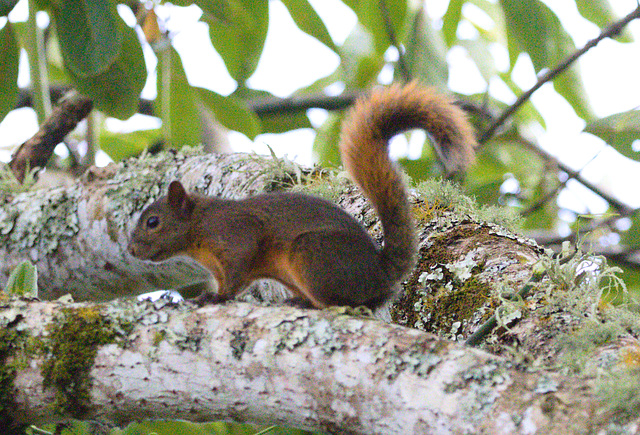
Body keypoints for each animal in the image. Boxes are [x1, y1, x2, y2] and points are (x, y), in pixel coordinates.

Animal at [127, 83, 476, 310]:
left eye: (153, 222)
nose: (130, 250)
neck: (199, 226)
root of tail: (379, 273)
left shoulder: (235, 235)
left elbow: (238, 272)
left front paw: (218, 297)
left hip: (312, 254)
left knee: (342, 304)